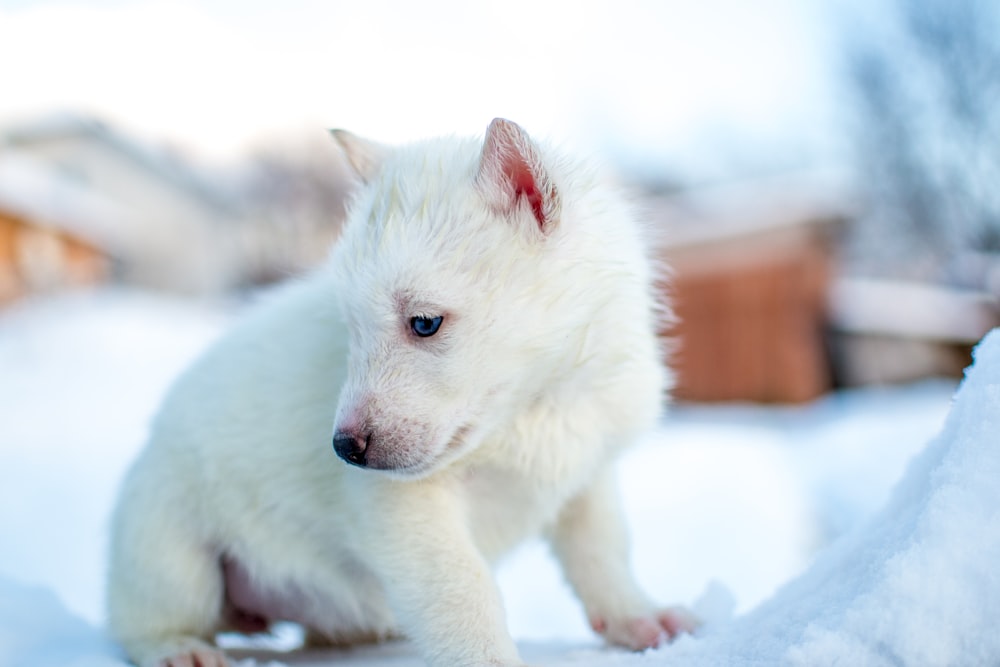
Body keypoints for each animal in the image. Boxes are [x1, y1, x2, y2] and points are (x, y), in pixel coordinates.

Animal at [103, 117, 696, 664]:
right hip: (168, 543)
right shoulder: (406, 512)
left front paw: (638, 618)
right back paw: (180, 648)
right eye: (351, 327)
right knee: (148, 620)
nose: (344, 449)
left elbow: (603, 552)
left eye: (425, 323)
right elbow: (463, 591)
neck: (535, 408)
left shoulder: (587, 473)